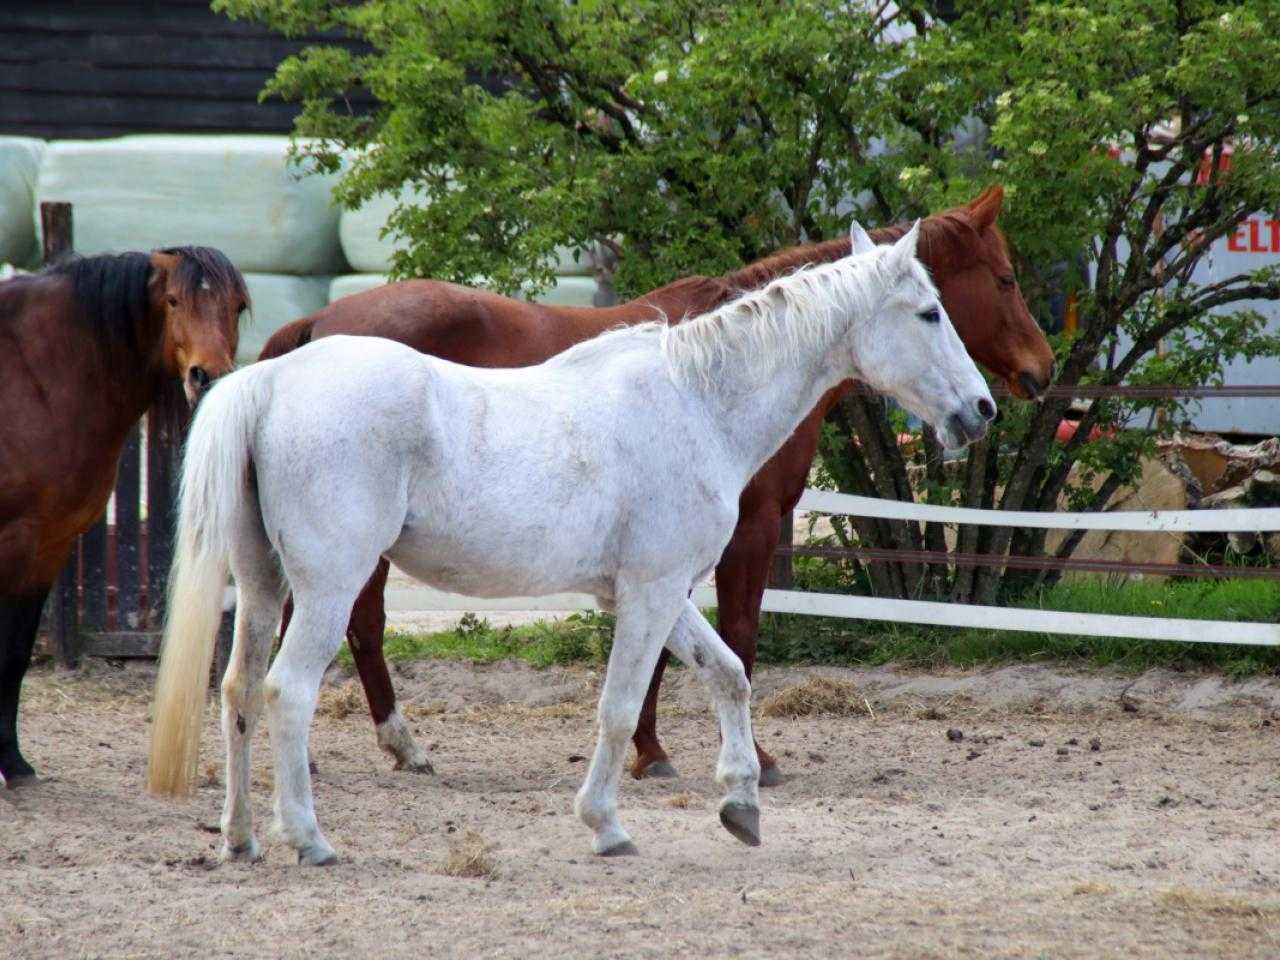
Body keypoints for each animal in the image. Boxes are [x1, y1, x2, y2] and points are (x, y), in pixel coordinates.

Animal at [0, 248, 247, 788]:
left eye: (237, 305)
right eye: (174, 300)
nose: (207, 377)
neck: (38, 373)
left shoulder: (48, 546)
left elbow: (17, 651)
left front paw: (14, 763)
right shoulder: (15, 541)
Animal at [145, 221, 993, 870]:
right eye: (928, 313)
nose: (981, 409)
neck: (696, 402)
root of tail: (271, 381)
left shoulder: (661, 591)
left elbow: (727, 676)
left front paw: (741, 803)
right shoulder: (652, 591)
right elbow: (620, 708)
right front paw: (607, 825)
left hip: (263, 584)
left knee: (238, 692)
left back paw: (242, 836)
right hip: (329, 587)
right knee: (289, 691)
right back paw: (310, 837)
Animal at [257, 184, 1049, 783]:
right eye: (1002, 280)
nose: (1031, 378)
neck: (710, 385)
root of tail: (320, 321)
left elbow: (669, 650)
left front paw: (648, 747)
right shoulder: (749, 535)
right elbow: (735, 637)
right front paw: (730, 755)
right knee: (349, 628)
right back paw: (378, 747)